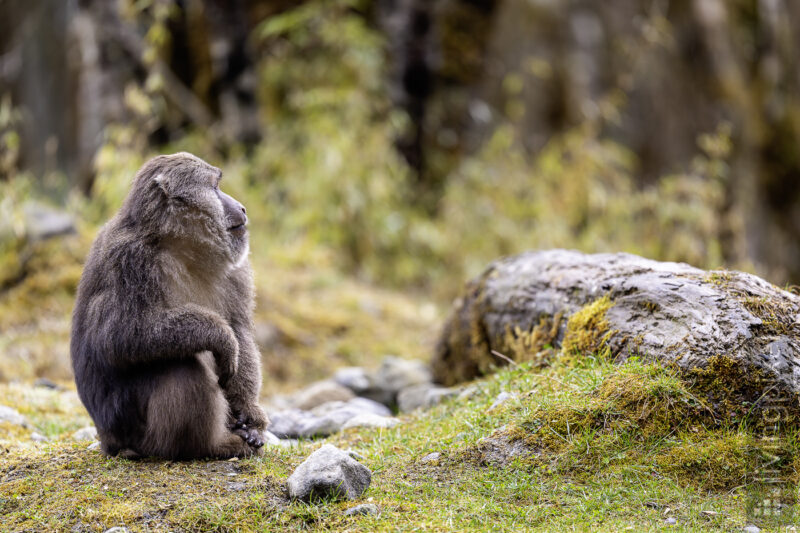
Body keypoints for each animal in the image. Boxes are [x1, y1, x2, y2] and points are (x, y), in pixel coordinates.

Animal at [70, 152, 268, 460]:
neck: (180, 249)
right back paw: (210, 446)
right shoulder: (130, 260)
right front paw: (220, 336)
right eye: (215, 187)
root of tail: (109, 442)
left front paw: (250, 415)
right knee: (182, 367)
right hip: (136, 430)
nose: (242, 208)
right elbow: (119, 337)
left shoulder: (237, 270)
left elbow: (240, 330)